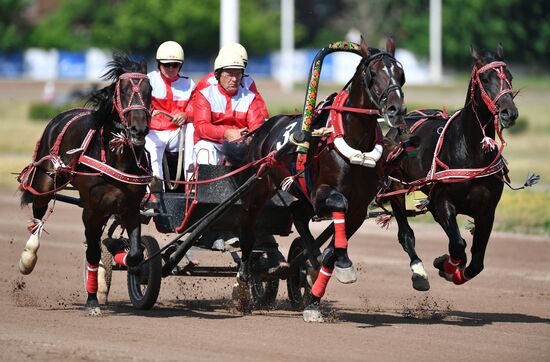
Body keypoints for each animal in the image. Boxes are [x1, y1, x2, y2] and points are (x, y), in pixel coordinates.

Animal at [17, 53, 151, 314]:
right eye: (124, 90)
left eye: (149, 90)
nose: (138, 129)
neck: (116, 158)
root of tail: (65, 114)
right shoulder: (91, 209)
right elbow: (93, 251)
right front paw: (92, 299)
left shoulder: (130, 207)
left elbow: (135, 253)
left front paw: (120, 263)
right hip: (46, 178)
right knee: (38, 215)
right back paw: (28, 257)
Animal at [225, 36, 410, 320]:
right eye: (373, 73)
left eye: (400, 74)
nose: (396, 109)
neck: (354, 142)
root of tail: (265, 128)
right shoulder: (322, 192)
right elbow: (339, 205)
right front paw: (342, 264)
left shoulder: (358, 208)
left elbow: (334, 248)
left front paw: (314, 297)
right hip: (258, 188)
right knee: (247, 228)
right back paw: (244, 280)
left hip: (300, 196)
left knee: (297, 215)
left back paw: (310, 260)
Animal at [382, 44, 520, 292]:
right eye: (485, 78)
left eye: (510, 77)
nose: (509, 113)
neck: (471, 152)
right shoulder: (444, 201)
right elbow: (457, 244)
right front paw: (446, 264)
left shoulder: (487, 211)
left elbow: (476, 261)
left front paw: (453, 270)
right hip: (395, 186)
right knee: (406, 234)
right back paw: (418, 273)